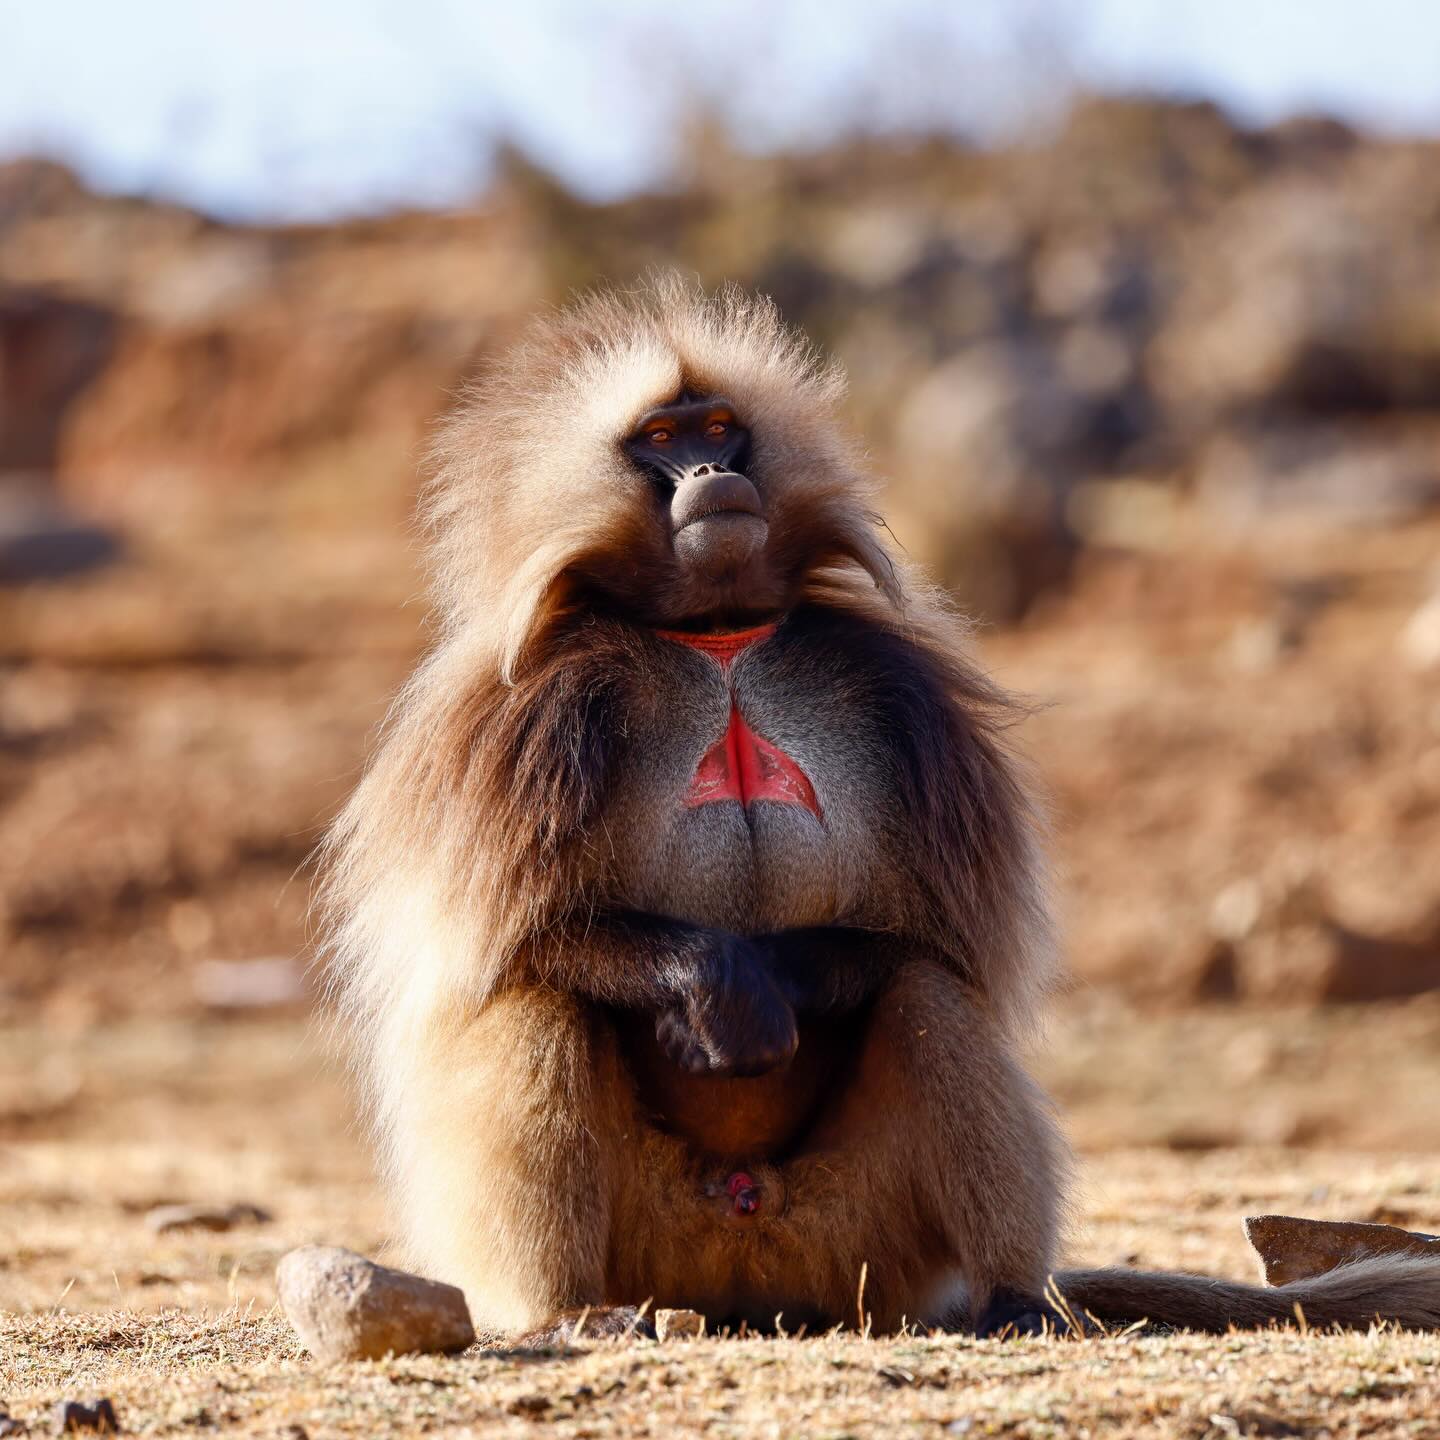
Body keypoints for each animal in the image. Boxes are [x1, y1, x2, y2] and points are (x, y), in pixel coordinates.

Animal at [319, 278, 1440, 1341]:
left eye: (719, 428)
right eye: (660, 442)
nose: (709, 478)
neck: (715, 636)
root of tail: (741, 1243)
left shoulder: (904, 702)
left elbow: (933, 944)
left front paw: (772, 979)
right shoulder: (520, 722)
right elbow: (513, 943)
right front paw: (717, 983)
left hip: (858, 1246)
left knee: (925, 999)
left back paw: (1014, 1300)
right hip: (663, 1236)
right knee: (541, 1003)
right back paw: (570, 1313)